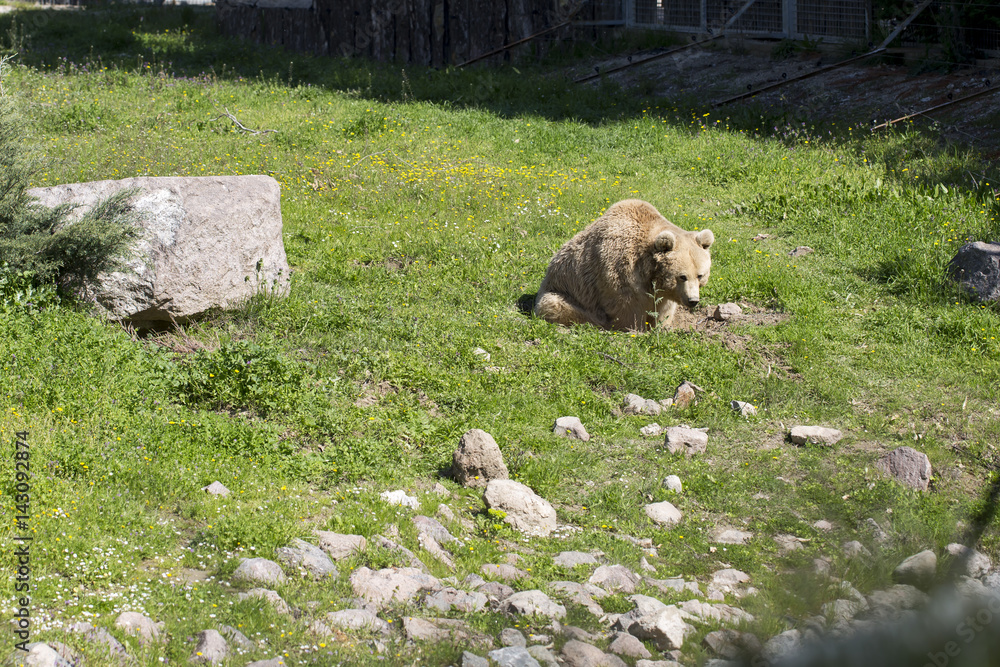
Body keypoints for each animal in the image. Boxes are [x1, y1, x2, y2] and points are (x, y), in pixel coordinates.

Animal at [533, 199, 715, 332]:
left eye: (700, 275)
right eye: (682, 276)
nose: (693, 300)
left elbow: (664, 308)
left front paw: (662, 328)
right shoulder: (621, 270)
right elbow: (628, 306)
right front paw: (636, 329)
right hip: (564, 292)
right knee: (553, 305)